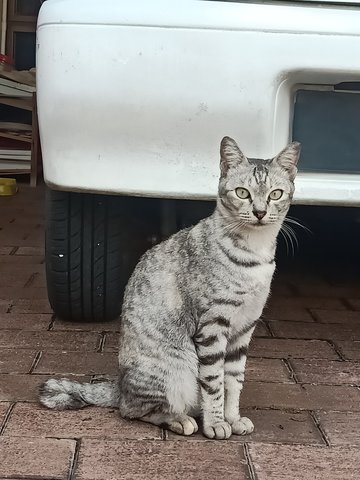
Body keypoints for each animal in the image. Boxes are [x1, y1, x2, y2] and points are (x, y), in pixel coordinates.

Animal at [38, 135, 300, 438]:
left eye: (275, 194)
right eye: (242, 193)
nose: (259, 212)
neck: (254, 253)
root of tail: (118, 386)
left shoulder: (244, 329)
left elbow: (234, 381)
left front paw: (232, 418)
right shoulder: (213, 326)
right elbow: (214, 383)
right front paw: (215, 423)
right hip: (176, 366)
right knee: (133, 410)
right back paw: (179, 419)